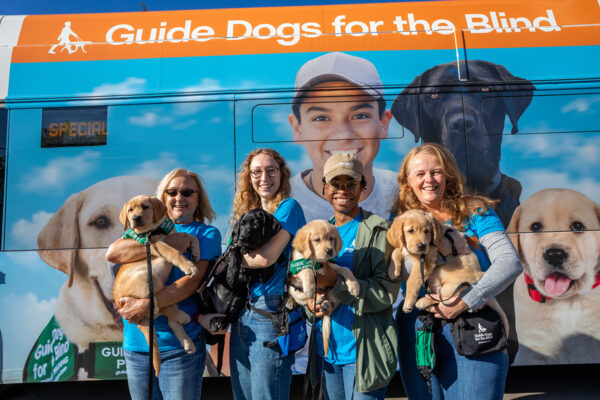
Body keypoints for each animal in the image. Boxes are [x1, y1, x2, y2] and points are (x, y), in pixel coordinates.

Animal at [288, 220, 358, 354]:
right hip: (293, 290)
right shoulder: (297, 268)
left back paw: (325, 304)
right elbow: (307, 269)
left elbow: (345, 269)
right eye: (317, 240)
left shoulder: (331, 266)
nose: (330, 251)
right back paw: (318, 299)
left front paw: (354, 286)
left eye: (331, 238)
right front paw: (310, 288)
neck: (317, 262)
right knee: (304, 299)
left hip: (332, 292)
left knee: (331, 303)